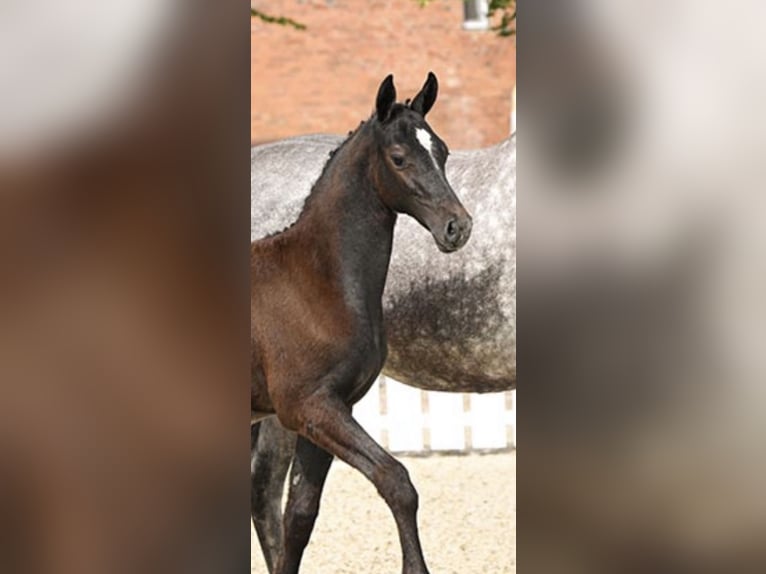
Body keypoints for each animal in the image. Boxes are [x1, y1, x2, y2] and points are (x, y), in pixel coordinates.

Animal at [252, 72, 472, 574]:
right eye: (399, 157)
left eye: (443, 151)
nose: (458, 227)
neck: (319, 283)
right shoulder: (308, 406)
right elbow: (396, 479)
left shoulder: (329, 411)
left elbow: (300, 515)